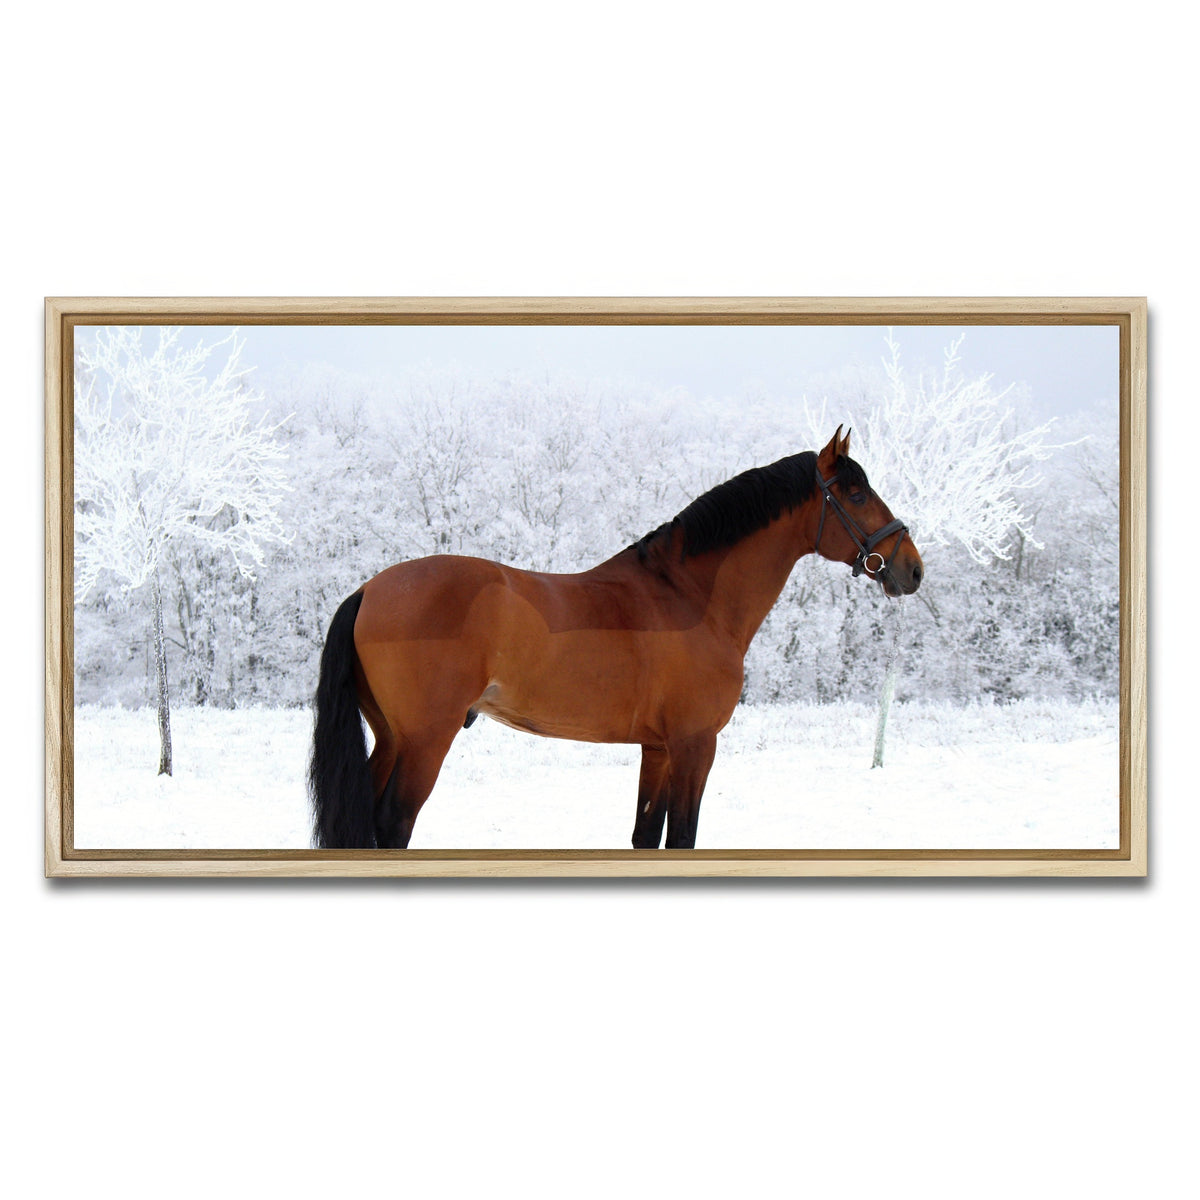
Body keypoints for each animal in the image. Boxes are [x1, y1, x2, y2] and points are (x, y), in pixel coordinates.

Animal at [309, 427, 923, 850]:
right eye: (857, 493)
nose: (911, 568)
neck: (687, 596)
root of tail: (368, 590)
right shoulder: (696, 745)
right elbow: (683, 838)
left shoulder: (658, 749)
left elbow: (646, 836)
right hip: (424, 742)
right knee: (392, 825)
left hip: (390, 738)